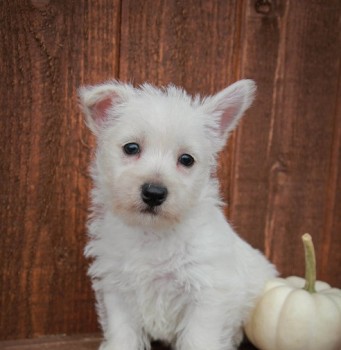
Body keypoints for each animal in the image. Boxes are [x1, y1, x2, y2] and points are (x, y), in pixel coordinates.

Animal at [79, 79, 276, 350]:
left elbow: (198, 339)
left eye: (186, 159)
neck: (152, 233)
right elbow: (123, 333)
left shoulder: (207, 293)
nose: (154, 193)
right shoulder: (117, 289)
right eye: (131, 148)